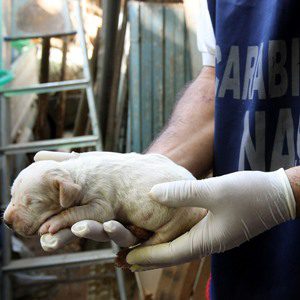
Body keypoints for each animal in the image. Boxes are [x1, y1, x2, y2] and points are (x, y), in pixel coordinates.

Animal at [4, 152, 206, 248]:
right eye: (11, 195)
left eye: (33, 202)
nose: (6, 222)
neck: (74, 175)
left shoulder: (101, 202)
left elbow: (76, 211)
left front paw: (51, 223)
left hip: (179, 216)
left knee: (159, 238)